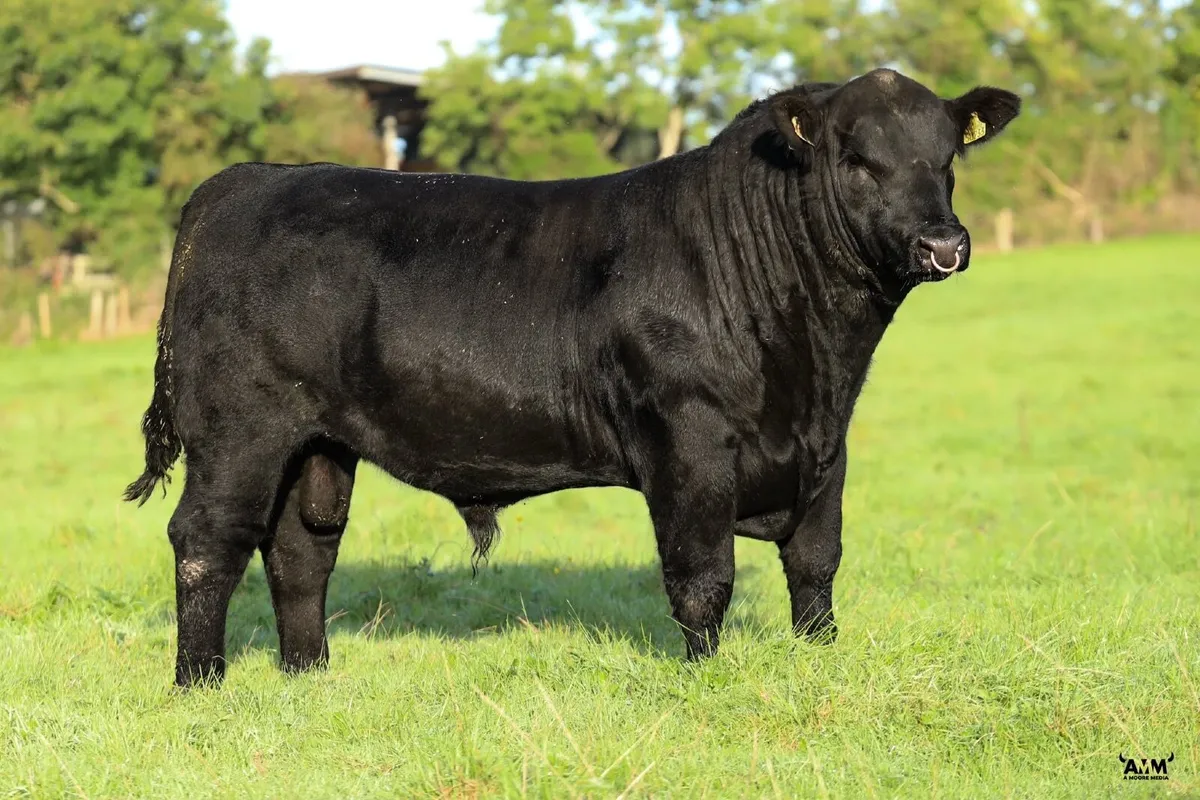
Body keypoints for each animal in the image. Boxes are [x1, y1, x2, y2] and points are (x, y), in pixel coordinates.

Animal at [125, 68, 1020, 688]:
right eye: (859, 160)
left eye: (947, 158)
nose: (945, 244)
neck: (814, 361)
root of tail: (242, 181)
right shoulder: (689, 442)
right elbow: (703, 577)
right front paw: (706, 683)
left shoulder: (828, 447)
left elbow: (816, 564)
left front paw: (819, 660)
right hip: (239, 430)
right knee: (208, 541)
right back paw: (201, 684)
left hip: (316, 443)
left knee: (299, 550)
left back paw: (309, 674)